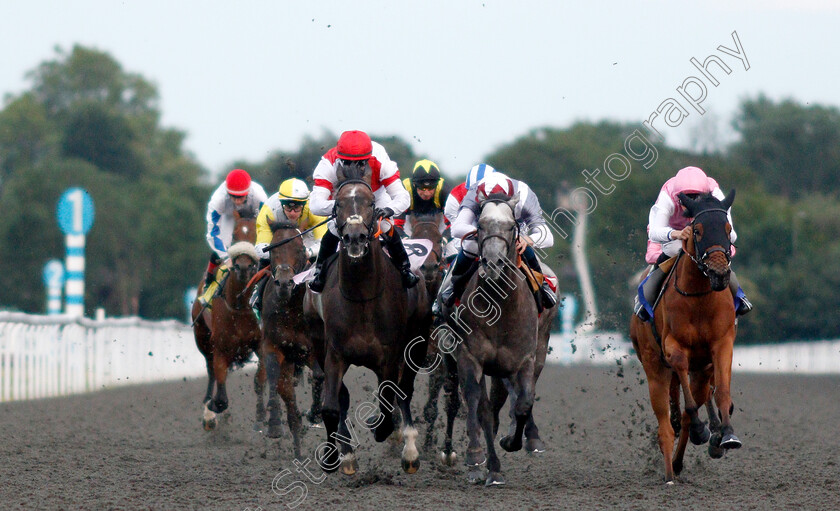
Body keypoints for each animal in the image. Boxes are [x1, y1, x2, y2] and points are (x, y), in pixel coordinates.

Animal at [192, 210, 264, 430]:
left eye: (256, 234)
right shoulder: (220, 348)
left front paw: (262, 418)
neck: (239, 305)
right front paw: (212, 407)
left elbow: (260, 380)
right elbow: (221, 394)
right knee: (211, 373)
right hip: (202, 338)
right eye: (234, 235)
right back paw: (209, 411)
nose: (243, 266)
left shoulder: (260, 343)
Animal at [260, 222, 326, 458]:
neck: (289, 310)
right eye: (272, 248)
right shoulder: (273, 346)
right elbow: (272, 375)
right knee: (290, 406)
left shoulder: (311, 350)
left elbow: (319, 376)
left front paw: (315, 413)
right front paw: (273, 425)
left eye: (300, 248)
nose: (284, 284)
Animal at [304, 163, 434, 476]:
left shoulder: (389, 355)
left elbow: (389, 403)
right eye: (338, 204)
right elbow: (332, 406)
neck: (362, 296)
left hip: (418, 341)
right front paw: (334, 456)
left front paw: (383, 430)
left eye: (372, 204)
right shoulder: (334, 353)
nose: (354, 238)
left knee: (405, 390)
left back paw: (409, 450)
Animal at [632, 191, 740, 484]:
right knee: (666, 423)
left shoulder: (721, 344)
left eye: (728, 229)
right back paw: (670, 472)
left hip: (700, 372)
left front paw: (726, 434)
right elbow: (682, 378)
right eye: (697, 230)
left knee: (690, 407)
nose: (719, 273)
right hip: (653, 367)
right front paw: (705, 430)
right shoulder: (674, 346)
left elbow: (722, 391)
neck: (699, 297)